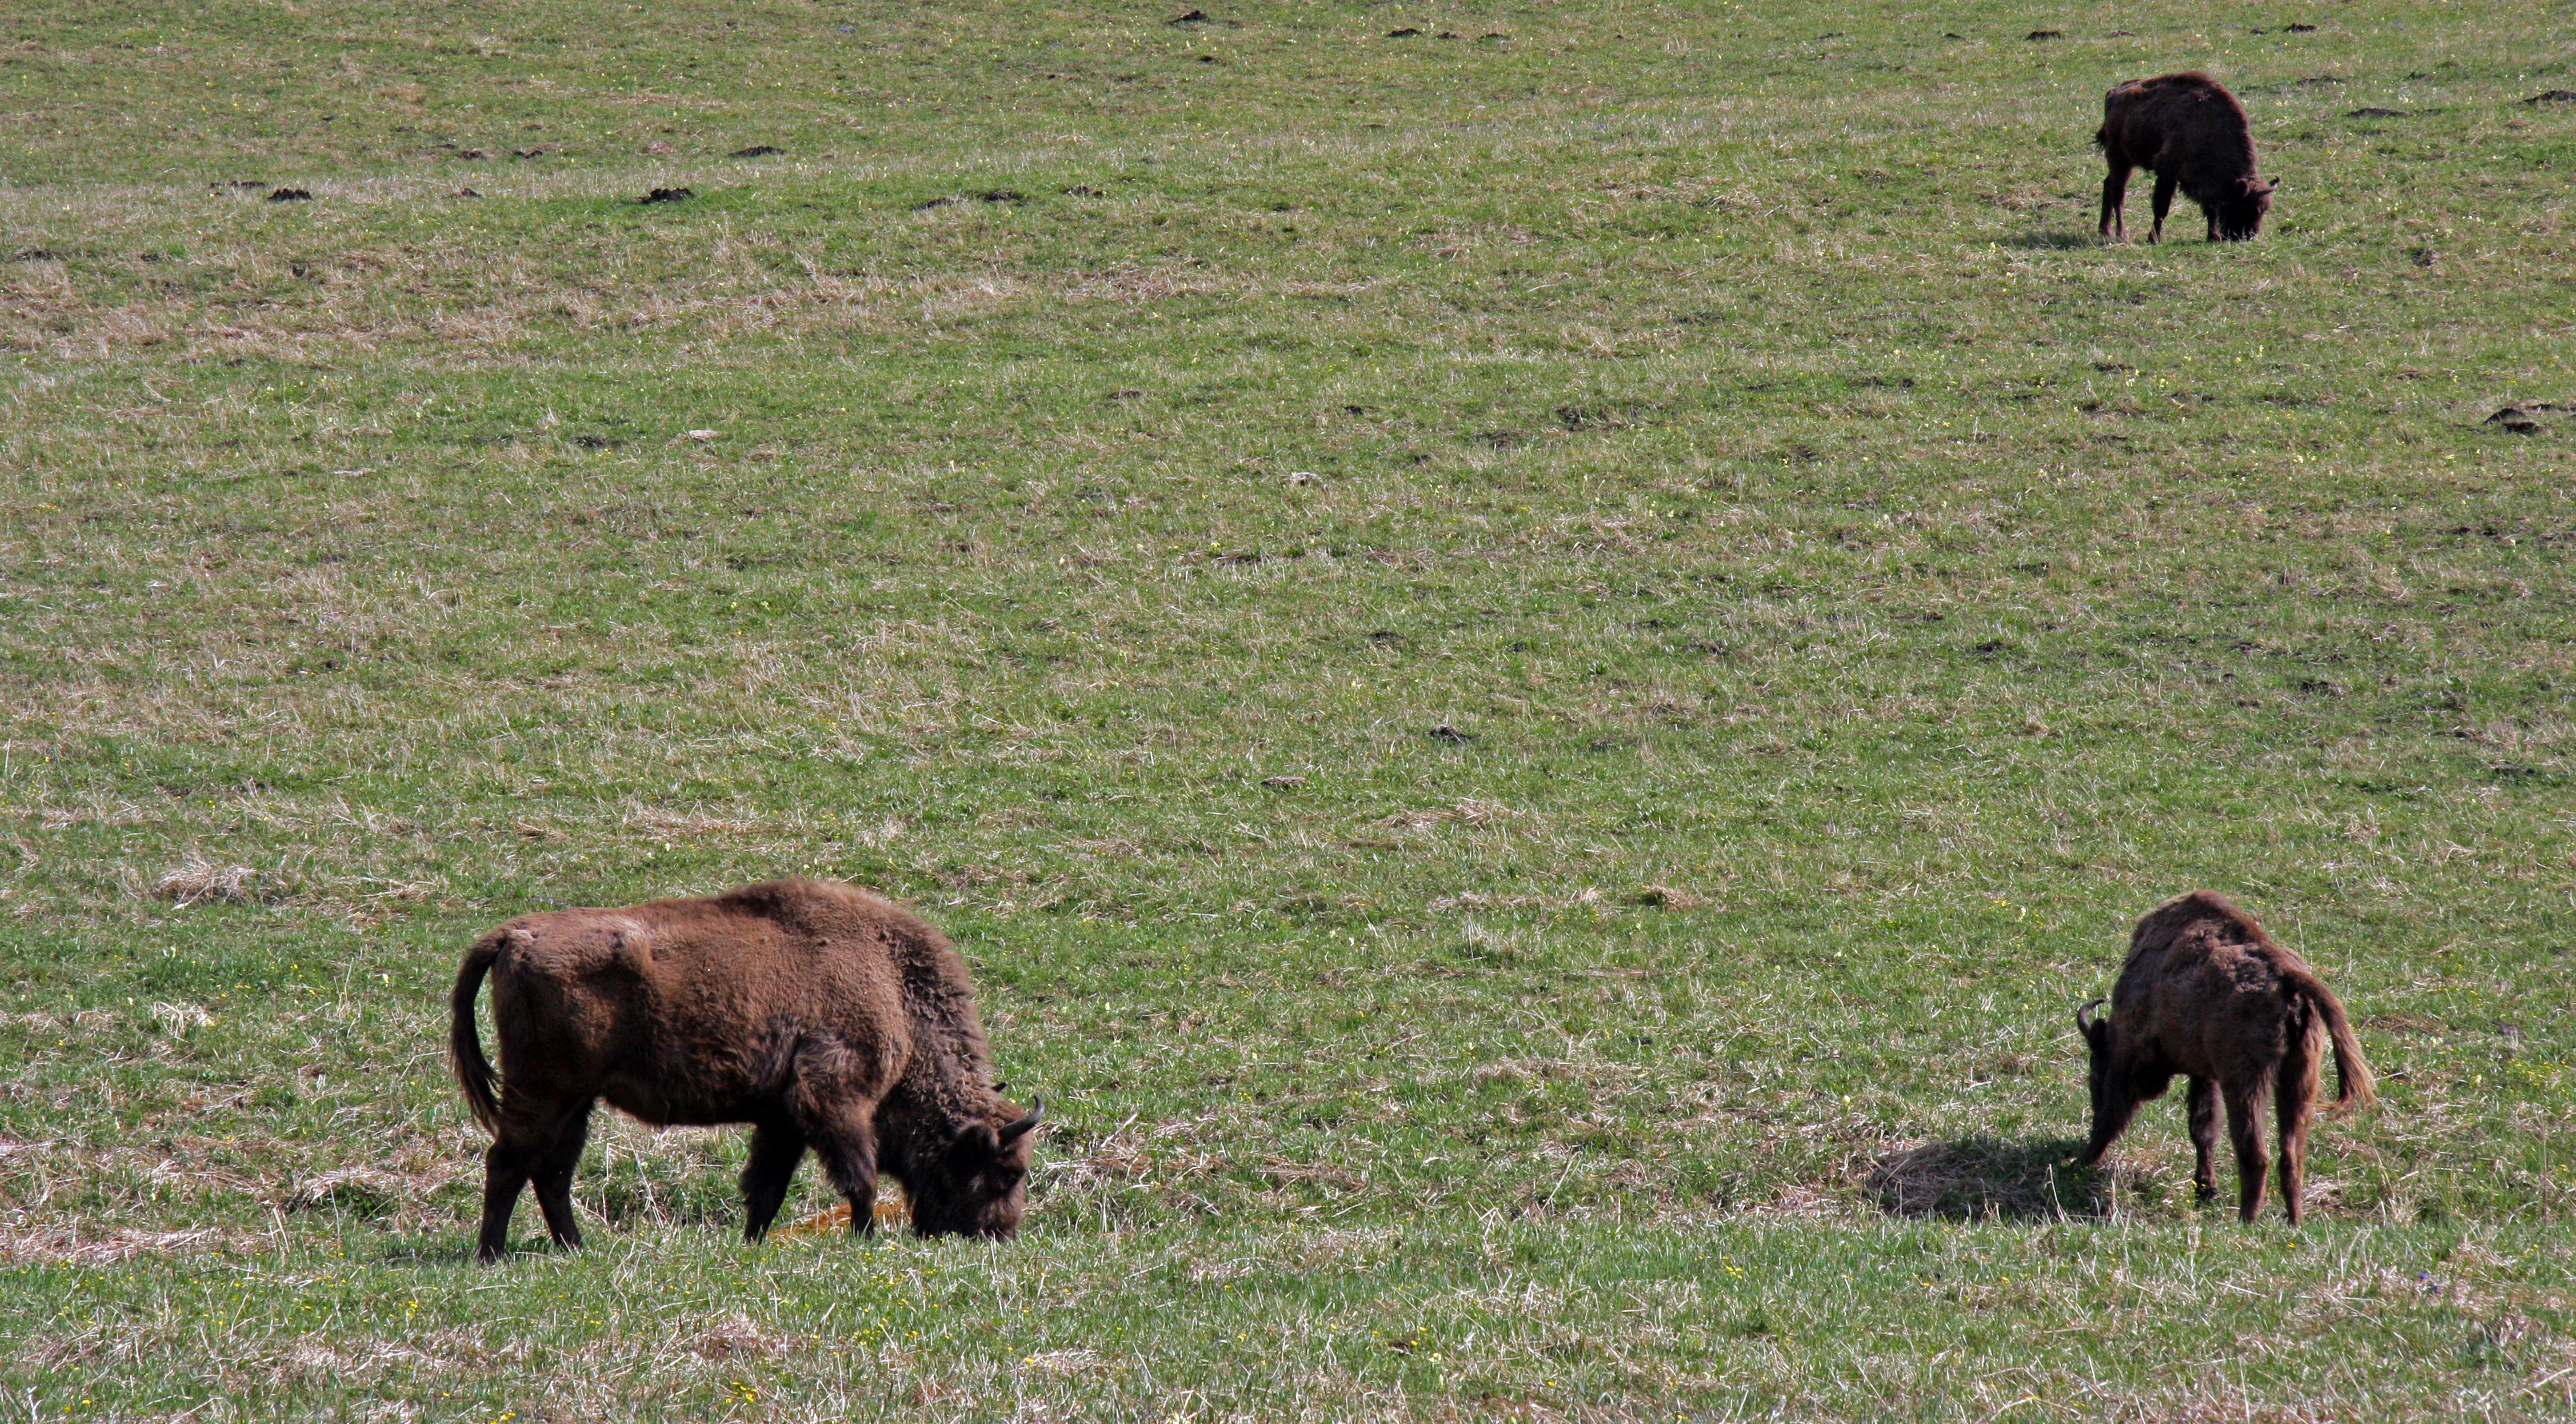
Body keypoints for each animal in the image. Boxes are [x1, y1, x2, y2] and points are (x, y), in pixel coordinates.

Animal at [451, 870, 1035, 1261]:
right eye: (1006, 1171)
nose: (1000, 1235)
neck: (891, 983)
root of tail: (515, 935)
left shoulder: (782, 1118)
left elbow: (766, 1187)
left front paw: (753, 1242)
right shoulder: (835, 1100)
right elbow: (860, 1177)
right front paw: (864, 1238)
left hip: (576, 1102)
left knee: (551, 1172)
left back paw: (575, 1247)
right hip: (545, 1091)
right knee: (509, 1162)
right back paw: (492, 1254)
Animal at [2071, 885, 2369, 1220]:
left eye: (2096, 1069)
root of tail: (2286, 975)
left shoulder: (2133, 1056)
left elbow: (2116, 1114)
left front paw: (2081, 1161)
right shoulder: (2204, 1074)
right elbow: (2203, 1127)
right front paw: (2206, 1189)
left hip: (2245, 1082)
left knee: (2254, 1152)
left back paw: (2247, 1220)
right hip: (2300, 1079)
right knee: (2291, 1154)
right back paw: (2294, 1221)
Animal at [2091, 71, 2277, 242]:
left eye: (2263, 210)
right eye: (2243, 206)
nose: (2248, 236)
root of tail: (2114, 92)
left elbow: (2211, 209)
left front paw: (2213, 236)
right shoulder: (2168, 172)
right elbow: (2162, 207)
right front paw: (2154, 238)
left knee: (2108, 184)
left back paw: (2105, 230)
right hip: (2119, 159)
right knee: (2118, 193)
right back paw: (2121, 234)